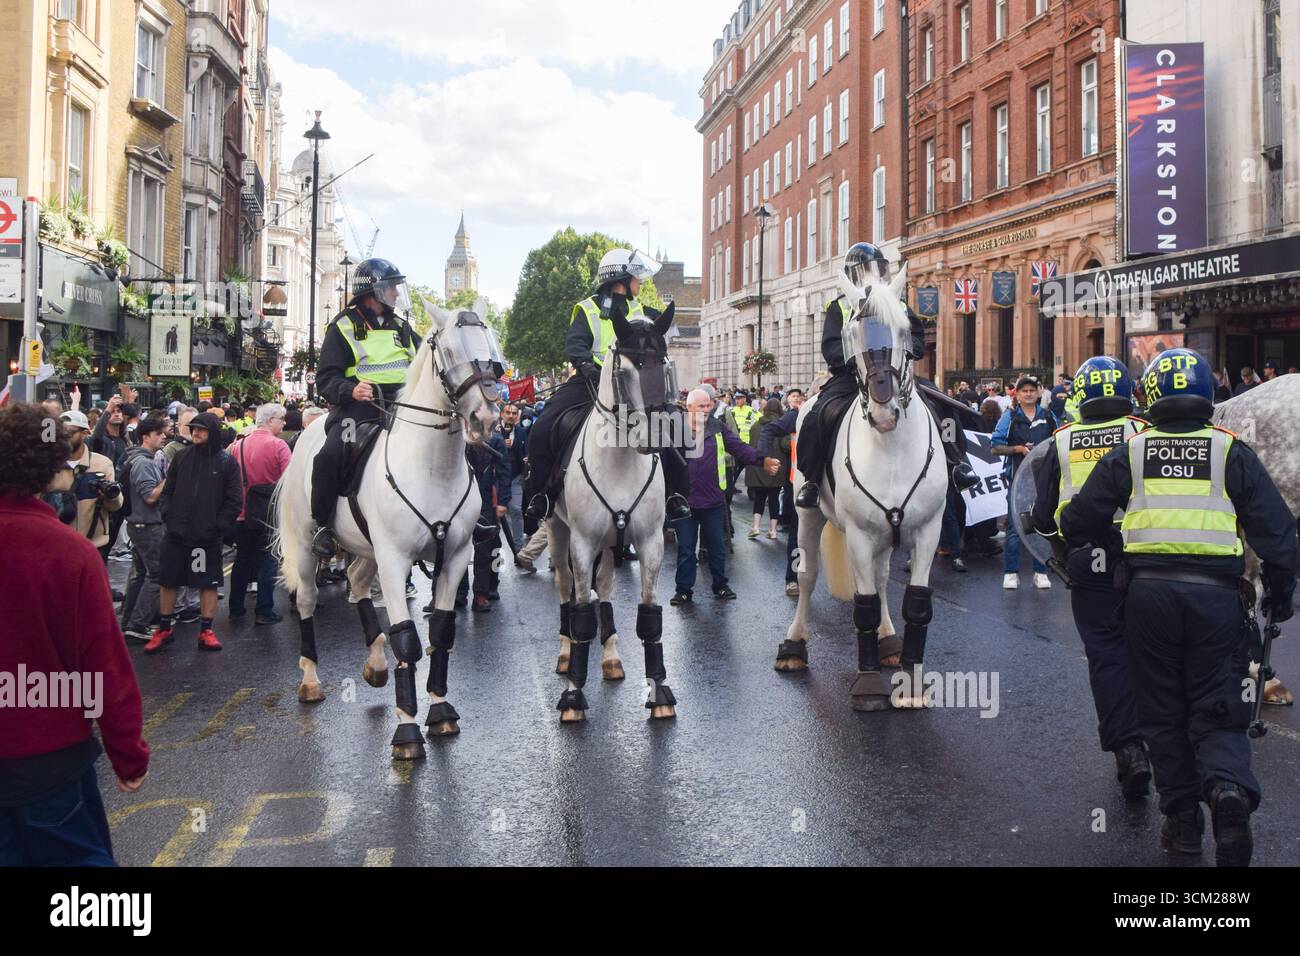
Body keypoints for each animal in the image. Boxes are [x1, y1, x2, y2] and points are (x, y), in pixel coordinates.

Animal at [272, 302, 502, 760]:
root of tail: (306, 430)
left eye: (491, 346)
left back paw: (376, 663)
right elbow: (408, 640)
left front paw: (440, 708)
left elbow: (441, 631)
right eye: (449, 350)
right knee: (306, 600)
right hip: (309, 547)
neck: (432, 467)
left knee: (358, 585)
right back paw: (310, 679)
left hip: (366, 550)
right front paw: (408, 728)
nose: (484, 416)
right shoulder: (395, 561)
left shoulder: (454, 557)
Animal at [547, 302, 678, 723]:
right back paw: (565, 653)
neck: (620, 459)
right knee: (565, 590)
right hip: (557, 530)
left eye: (664, 364)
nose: (656, 435)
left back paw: (610, 657)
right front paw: (573, 694)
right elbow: (581, 615)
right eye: (627, 370)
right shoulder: (583, 543)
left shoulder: (650, 543)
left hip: (609, 543)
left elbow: (649, 617)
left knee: (603, 589)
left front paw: (659, 691)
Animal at [776, 265, 950, 711]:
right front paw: (870, 684)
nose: (885, 410)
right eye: (853, 332)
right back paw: (794, 646)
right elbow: (864, 605)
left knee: (881, 575)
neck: (891, 448)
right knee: (807, 576)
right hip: (809, 516)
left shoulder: (928, 530)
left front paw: (910, 678)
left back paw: (887, 640)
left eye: (904, 329)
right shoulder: (857, 532)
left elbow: (915, 602)